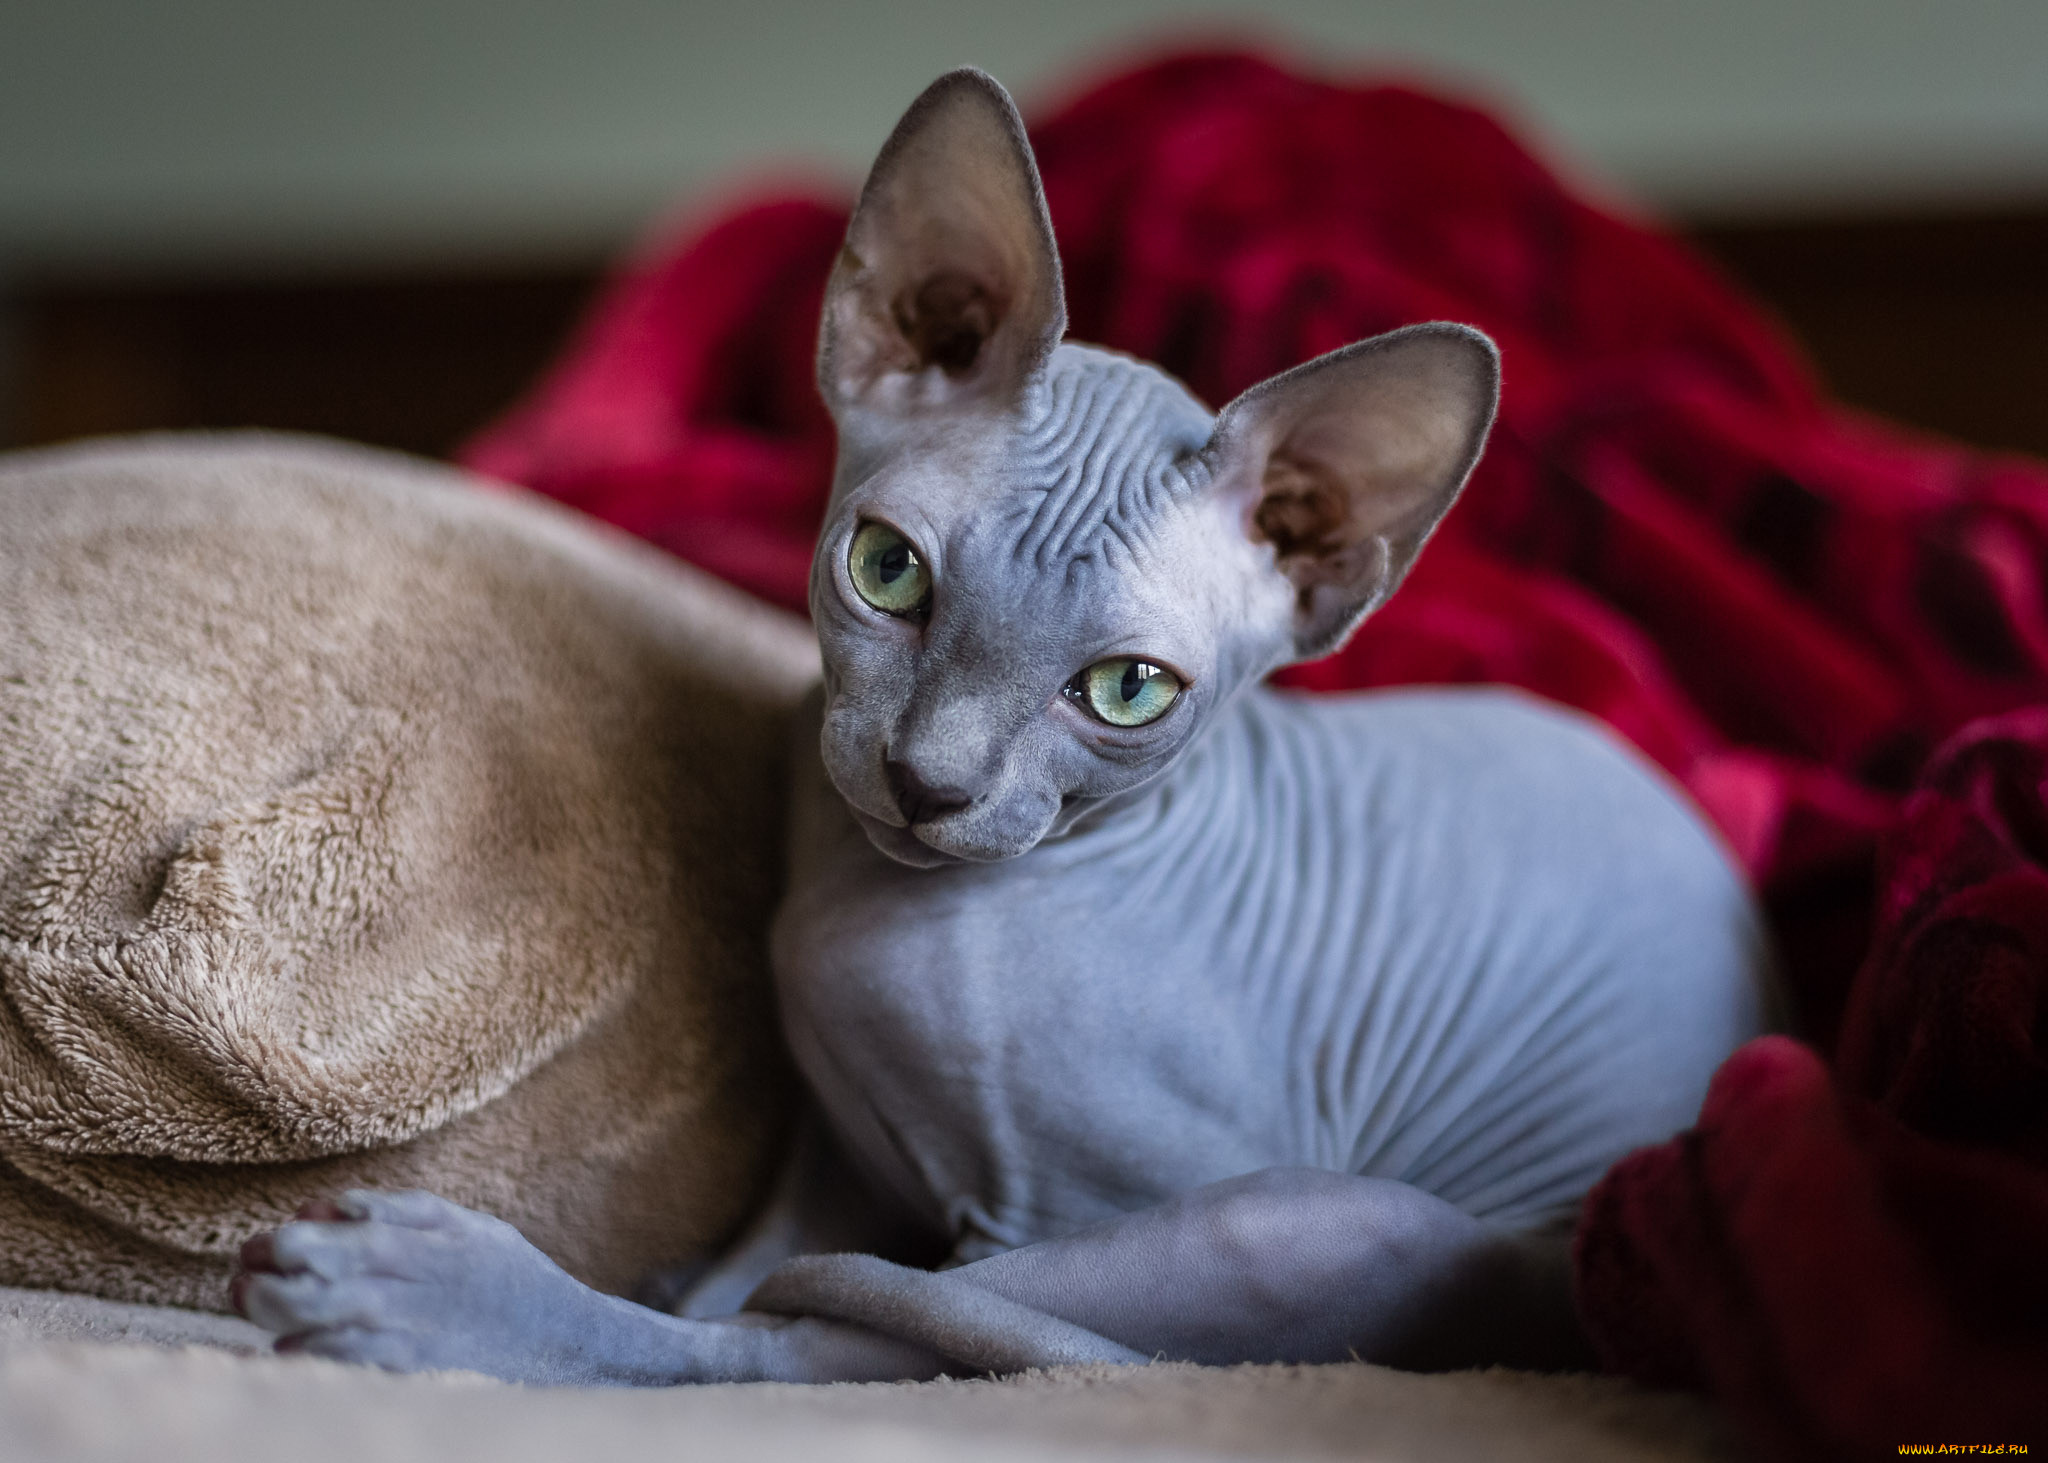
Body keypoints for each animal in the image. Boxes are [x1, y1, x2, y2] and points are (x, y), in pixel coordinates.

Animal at [228, 68, 1777, 1376]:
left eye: (1129, 689)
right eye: (887, 569)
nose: (928, 780)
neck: (890, 912)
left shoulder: (1065, 1207)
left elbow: (822, 1323)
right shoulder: (830, 1152)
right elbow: (766, 1260)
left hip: (1304, 1221)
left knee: (804, 1347)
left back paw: (431, 1296)